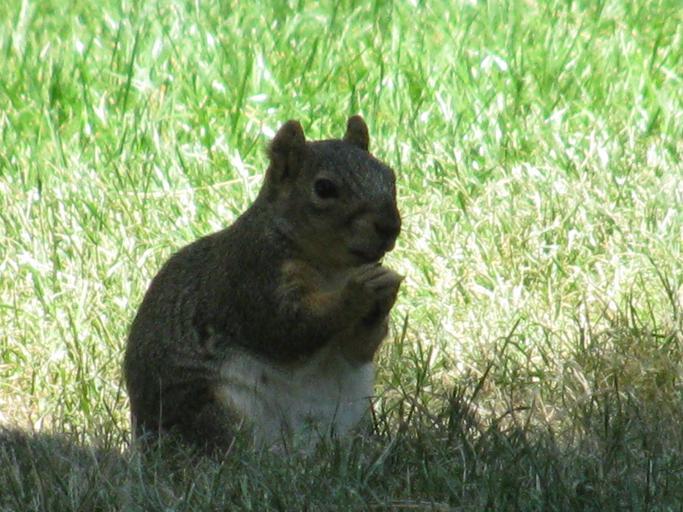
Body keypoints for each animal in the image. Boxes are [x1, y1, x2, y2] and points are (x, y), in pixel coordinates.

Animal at [123, 116, 403, 454]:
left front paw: (385, 292)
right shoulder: (251, 278)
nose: (390, 226)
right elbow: (287, 328)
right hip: (218, 407)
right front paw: (357, 293)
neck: (333, 268)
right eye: (323, 188)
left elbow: (356, 348)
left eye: (390, 176)